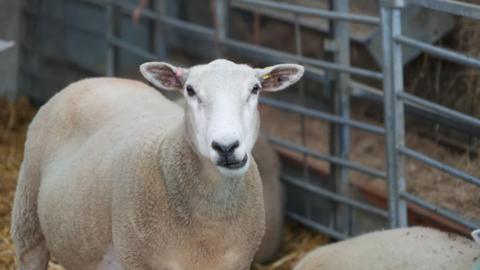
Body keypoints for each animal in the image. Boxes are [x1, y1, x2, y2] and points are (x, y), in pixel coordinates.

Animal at [10, 59, 304, 270]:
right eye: (190, 90)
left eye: (255, 89)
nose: (226, 146)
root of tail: (93, 79)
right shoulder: (135, 258)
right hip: (28, 214)